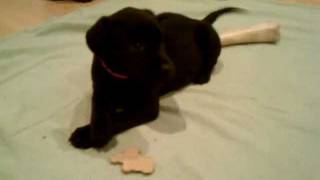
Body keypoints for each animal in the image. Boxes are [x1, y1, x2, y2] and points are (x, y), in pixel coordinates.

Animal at [70, 7, 240, 148]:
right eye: (137, 45)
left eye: (161, 41)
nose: (170, 69)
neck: (123, 77)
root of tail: (199, 20)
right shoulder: (99, 91)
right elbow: (98, 111)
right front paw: (93, 131)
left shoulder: (147, 107)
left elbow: (120, 116)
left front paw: (88, 135)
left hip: (210, 39)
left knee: (212, 61)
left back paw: (203, 75)